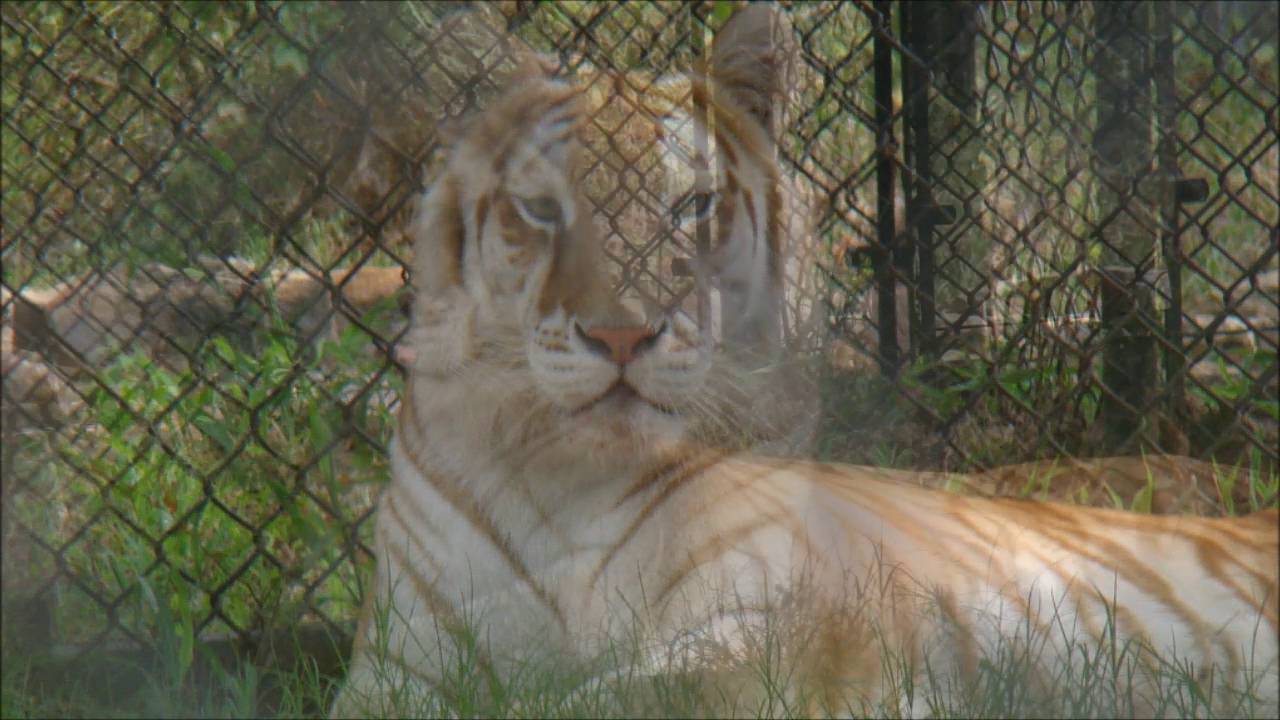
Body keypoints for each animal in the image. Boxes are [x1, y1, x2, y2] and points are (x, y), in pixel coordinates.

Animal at [333, 5, 1278, 718]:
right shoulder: (395, 668)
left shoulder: (769, 632)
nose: (623, 336)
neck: (565, 480)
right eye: (540, 208)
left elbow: (587, 700)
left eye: (692, 205)